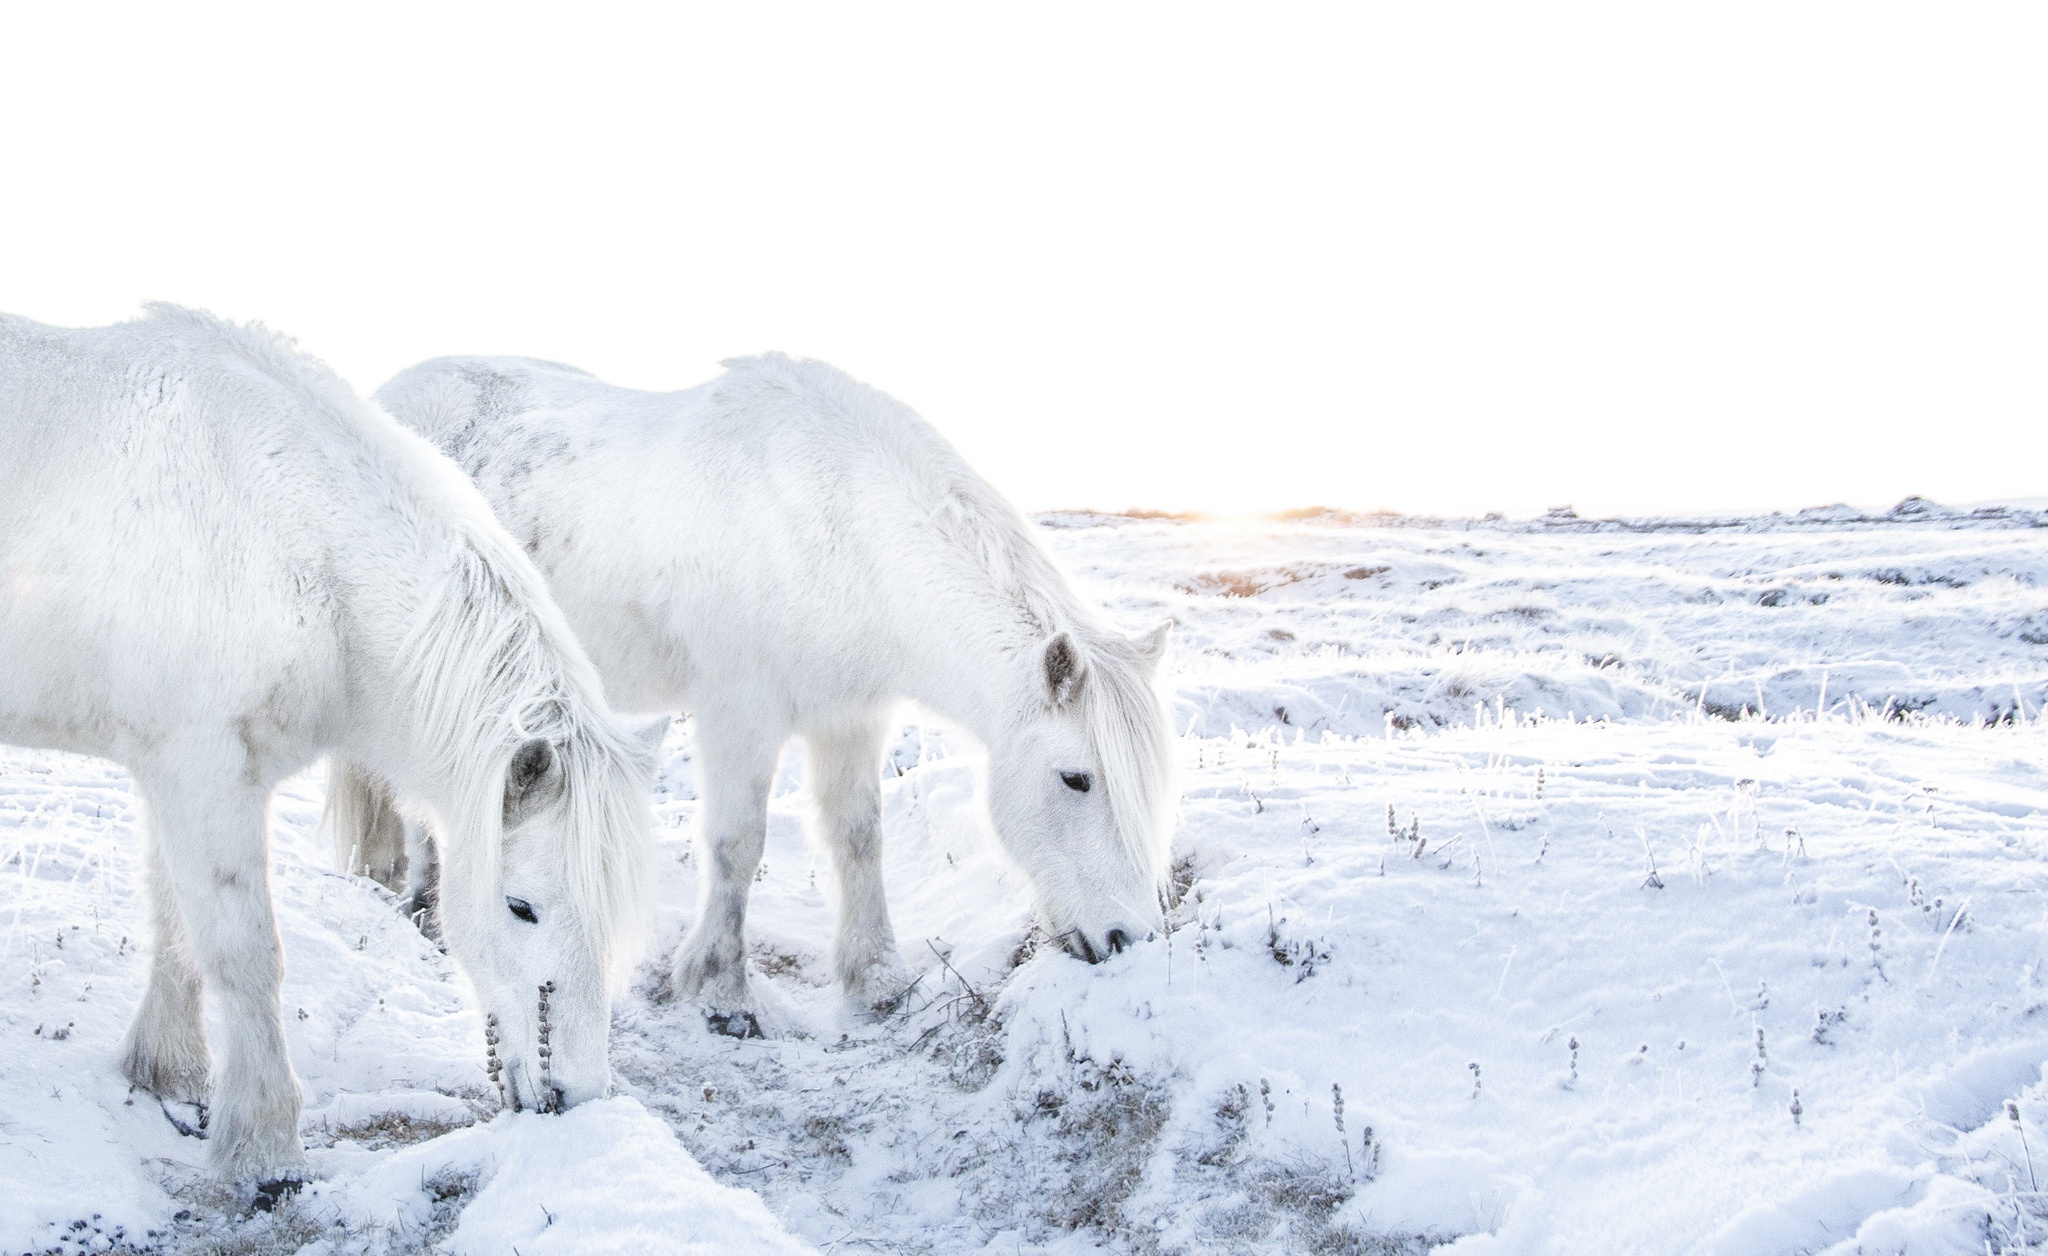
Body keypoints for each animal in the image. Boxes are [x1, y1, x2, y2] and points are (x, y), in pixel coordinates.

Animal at [0, 309, 659, 1188]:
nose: (577, 1097)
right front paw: (262, 1148)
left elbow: (177, 929)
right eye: (522, 907)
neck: (282, 530)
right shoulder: (206, 777)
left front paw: (167, 1072)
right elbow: (245, 955)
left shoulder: (176, 776)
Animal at [342, 350, 1179, 1020]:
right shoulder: (739, 713)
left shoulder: (851, 717)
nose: (1127, 938)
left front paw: (876, 977)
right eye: (1076, 778)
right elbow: (737, 844)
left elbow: (859, 837)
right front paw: (719, 989)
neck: (838, 524)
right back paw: (425, 902)